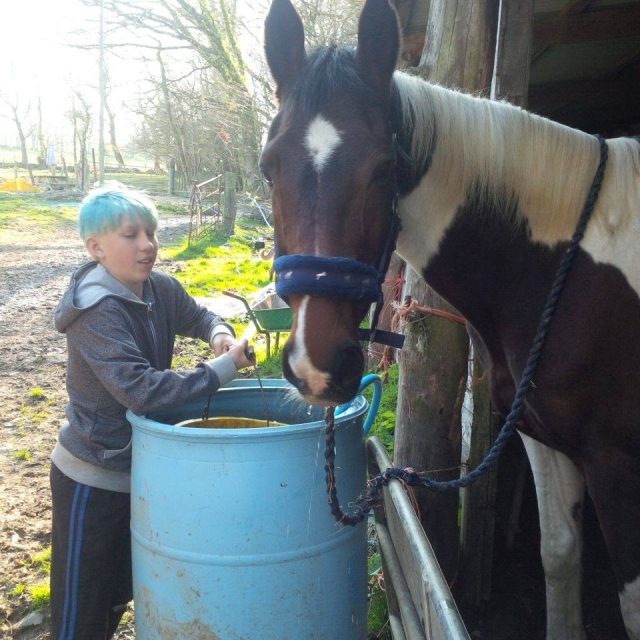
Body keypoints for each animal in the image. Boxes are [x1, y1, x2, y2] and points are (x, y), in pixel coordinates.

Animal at [261, 0, 640, 637]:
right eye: (268, 168)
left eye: (382, 169)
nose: (317, 363)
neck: (563, 264)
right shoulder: (544, 438)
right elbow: (559, 556)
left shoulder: (617, 461)